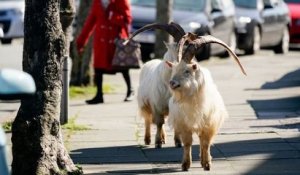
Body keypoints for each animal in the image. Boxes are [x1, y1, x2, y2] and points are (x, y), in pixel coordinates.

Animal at [166, 32, 246, 171]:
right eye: (174, 70)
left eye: (187, 71)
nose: (172, 83)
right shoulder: (184, 124)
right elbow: (187, 143)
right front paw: (185, 164)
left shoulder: (209, 123)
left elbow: (206, 143)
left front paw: (207, 164)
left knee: (202, 141)